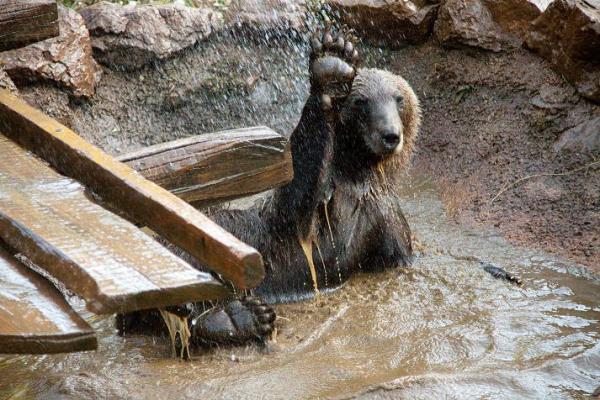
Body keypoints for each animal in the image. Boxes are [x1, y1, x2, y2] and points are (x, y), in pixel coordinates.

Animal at [118, 29, 422, 348]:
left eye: (398, 98)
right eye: (361, 102)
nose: (390, 135)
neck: (356, 175)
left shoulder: (383, 217)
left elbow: (396, 253)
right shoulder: (315, 212)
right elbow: (296, 200)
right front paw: (332, 63)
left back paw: (238, 318)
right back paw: (235, 317)